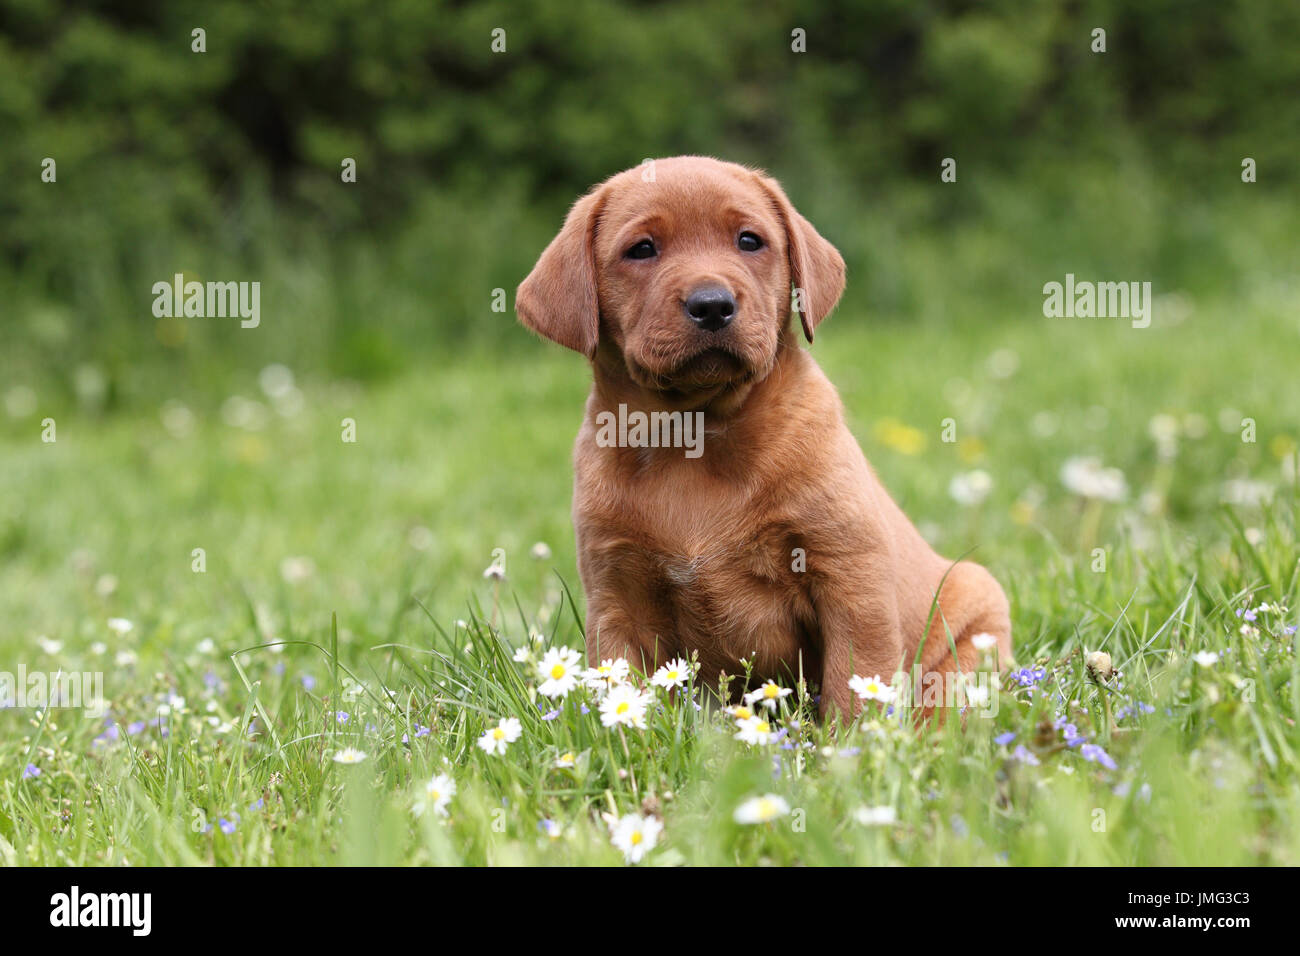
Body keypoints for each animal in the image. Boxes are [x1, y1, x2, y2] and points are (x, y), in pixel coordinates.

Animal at [512, 158, 1008, 717]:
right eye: (641, 249)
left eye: (749, 240)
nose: (712, 305)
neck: (696, 434)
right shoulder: (616, 599)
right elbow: (624, 694)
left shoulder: (850, 577)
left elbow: (857, 683)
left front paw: (854, 741)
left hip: (975, 619)